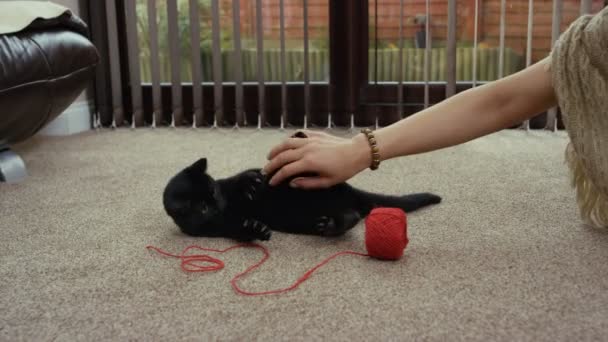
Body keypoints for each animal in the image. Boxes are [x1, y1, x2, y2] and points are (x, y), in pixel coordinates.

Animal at [164, 156, 440, 242]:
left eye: (212, 191)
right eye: (201, 207)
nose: (215, 204)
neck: (228, 204)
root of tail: (350, 190)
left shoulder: (227, 184)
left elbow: (240, 178)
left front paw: (251, 181)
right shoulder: (219, 228)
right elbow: (238, 228)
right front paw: (256, 229)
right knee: (351, 215)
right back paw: (331, 225)